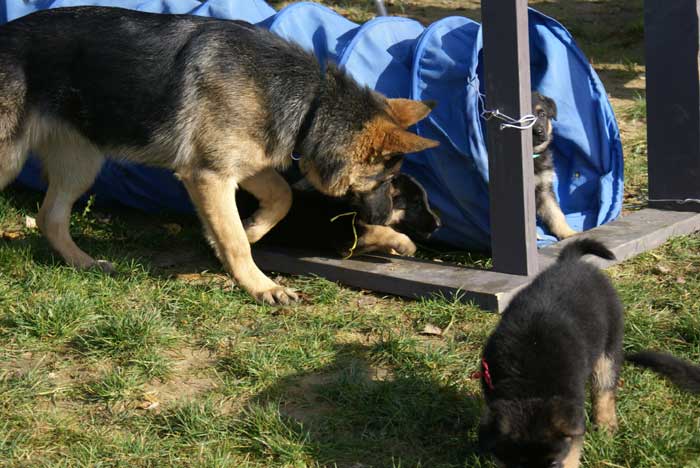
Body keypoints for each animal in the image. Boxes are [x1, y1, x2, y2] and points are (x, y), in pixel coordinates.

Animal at [0, 8, 438, 308]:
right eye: (386, 183)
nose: (380, 220)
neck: (312, 104)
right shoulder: (209, 176)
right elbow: (234, 242)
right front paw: (262, 286)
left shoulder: (242, 165)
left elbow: (281, 198)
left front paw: (253, 228)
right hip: (11, 159)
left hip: (81, 165)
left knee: (50, 217)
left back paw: (84, 263)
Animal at [478, 239, 700, 466]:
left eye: (553, 463)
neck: (529, 385)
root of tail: (572, 262)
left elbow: (572, 452)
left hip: (608, 349)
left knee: (604, 390)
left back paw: (606, 427)